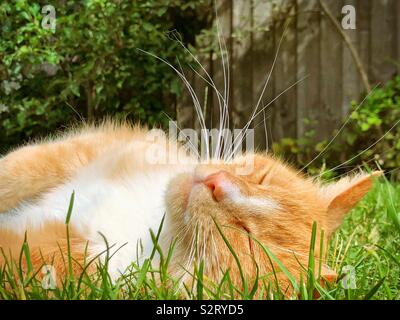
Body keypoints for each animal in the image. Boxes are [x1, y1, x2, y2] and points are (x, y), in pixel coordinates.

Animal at [0, 122, 382, 292]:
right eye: (262, 177)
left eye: (246, 238)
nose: (216, 183)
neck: (154, 225)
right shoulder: (97, 149)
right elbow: (16, 170)